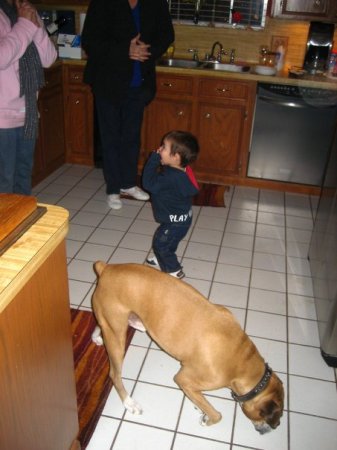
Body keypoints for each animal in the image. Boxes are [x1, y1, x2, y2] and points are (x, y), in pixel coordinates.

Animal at [90, 262, 282, 434]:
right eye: (276, 415)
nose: (277, 426)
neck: (241, 357)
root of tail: (107, 268)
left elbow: (201, 400)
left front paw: (200, 407)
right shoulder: (183, 379)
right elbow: (217, 415)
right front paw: (207, 418)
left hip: (112, 326)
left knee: (99, 324)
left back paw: (96, 337)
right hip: (118, 340)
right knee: (114, 375)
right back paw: (129, 403)